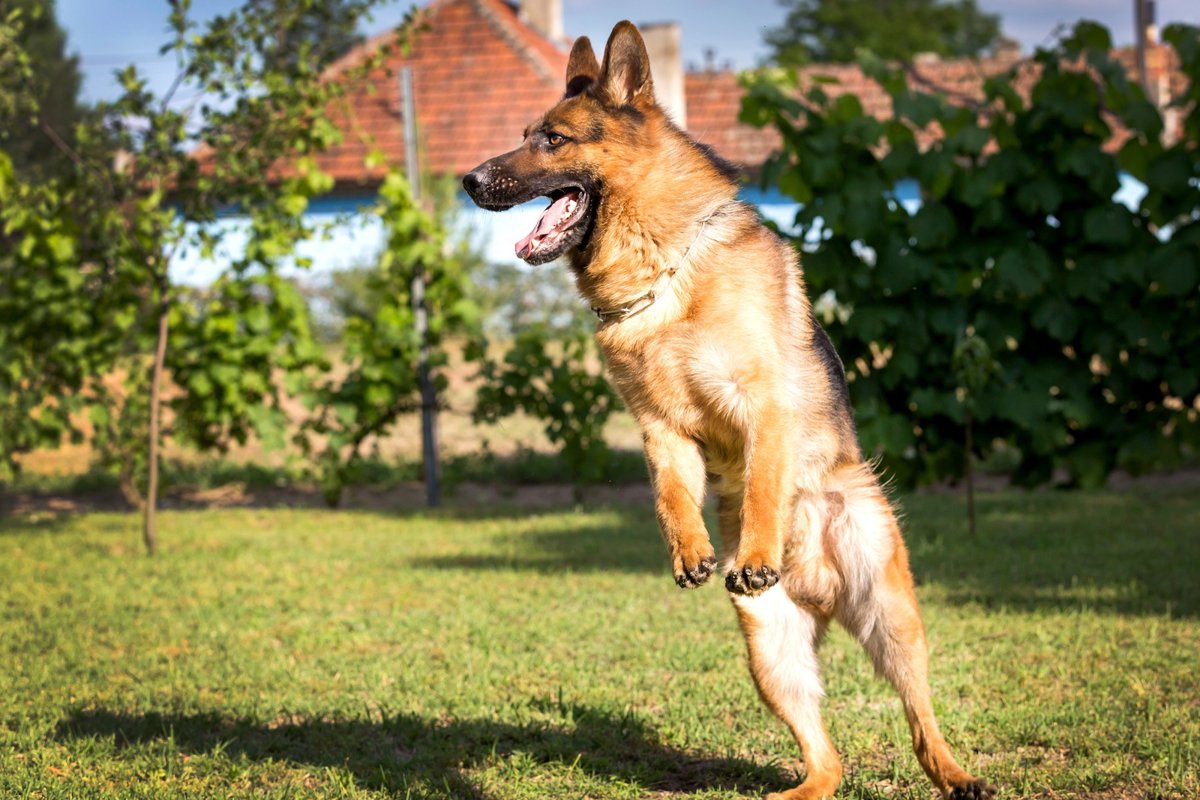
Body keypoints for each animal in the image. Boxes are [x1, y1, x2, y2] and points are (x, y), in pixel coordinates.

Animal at [463, 20, 988, 800]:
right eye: (528, 136)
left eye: (552, 140)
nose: (467, 180)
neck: (662, 271)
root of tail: (819, 585)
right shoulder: (660, 430)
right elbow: (670, 496)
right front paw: (692, 550)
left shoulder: (761, 405)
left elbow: (766, 482)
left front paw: (756, 552)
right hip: (771, 653)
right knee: (827, 759)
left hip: (892, 621)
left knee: (921, 718)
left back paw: (956, 773)